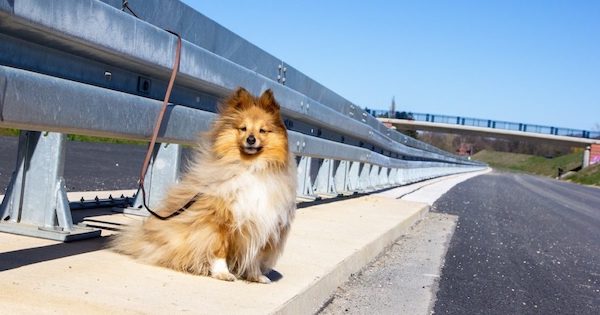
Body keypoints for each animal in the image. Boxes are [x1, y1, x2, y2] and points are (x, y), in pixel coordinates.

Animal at [111, 87, 296, 286]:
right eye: (243, 128)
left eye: (263, 130)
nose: (251, 139)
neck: (250, 167)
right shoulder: (219, 221)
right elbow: (220, 250)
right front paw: (222, 273)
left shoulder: (262, 223)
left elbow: (254, 256)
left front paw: (256, 276)